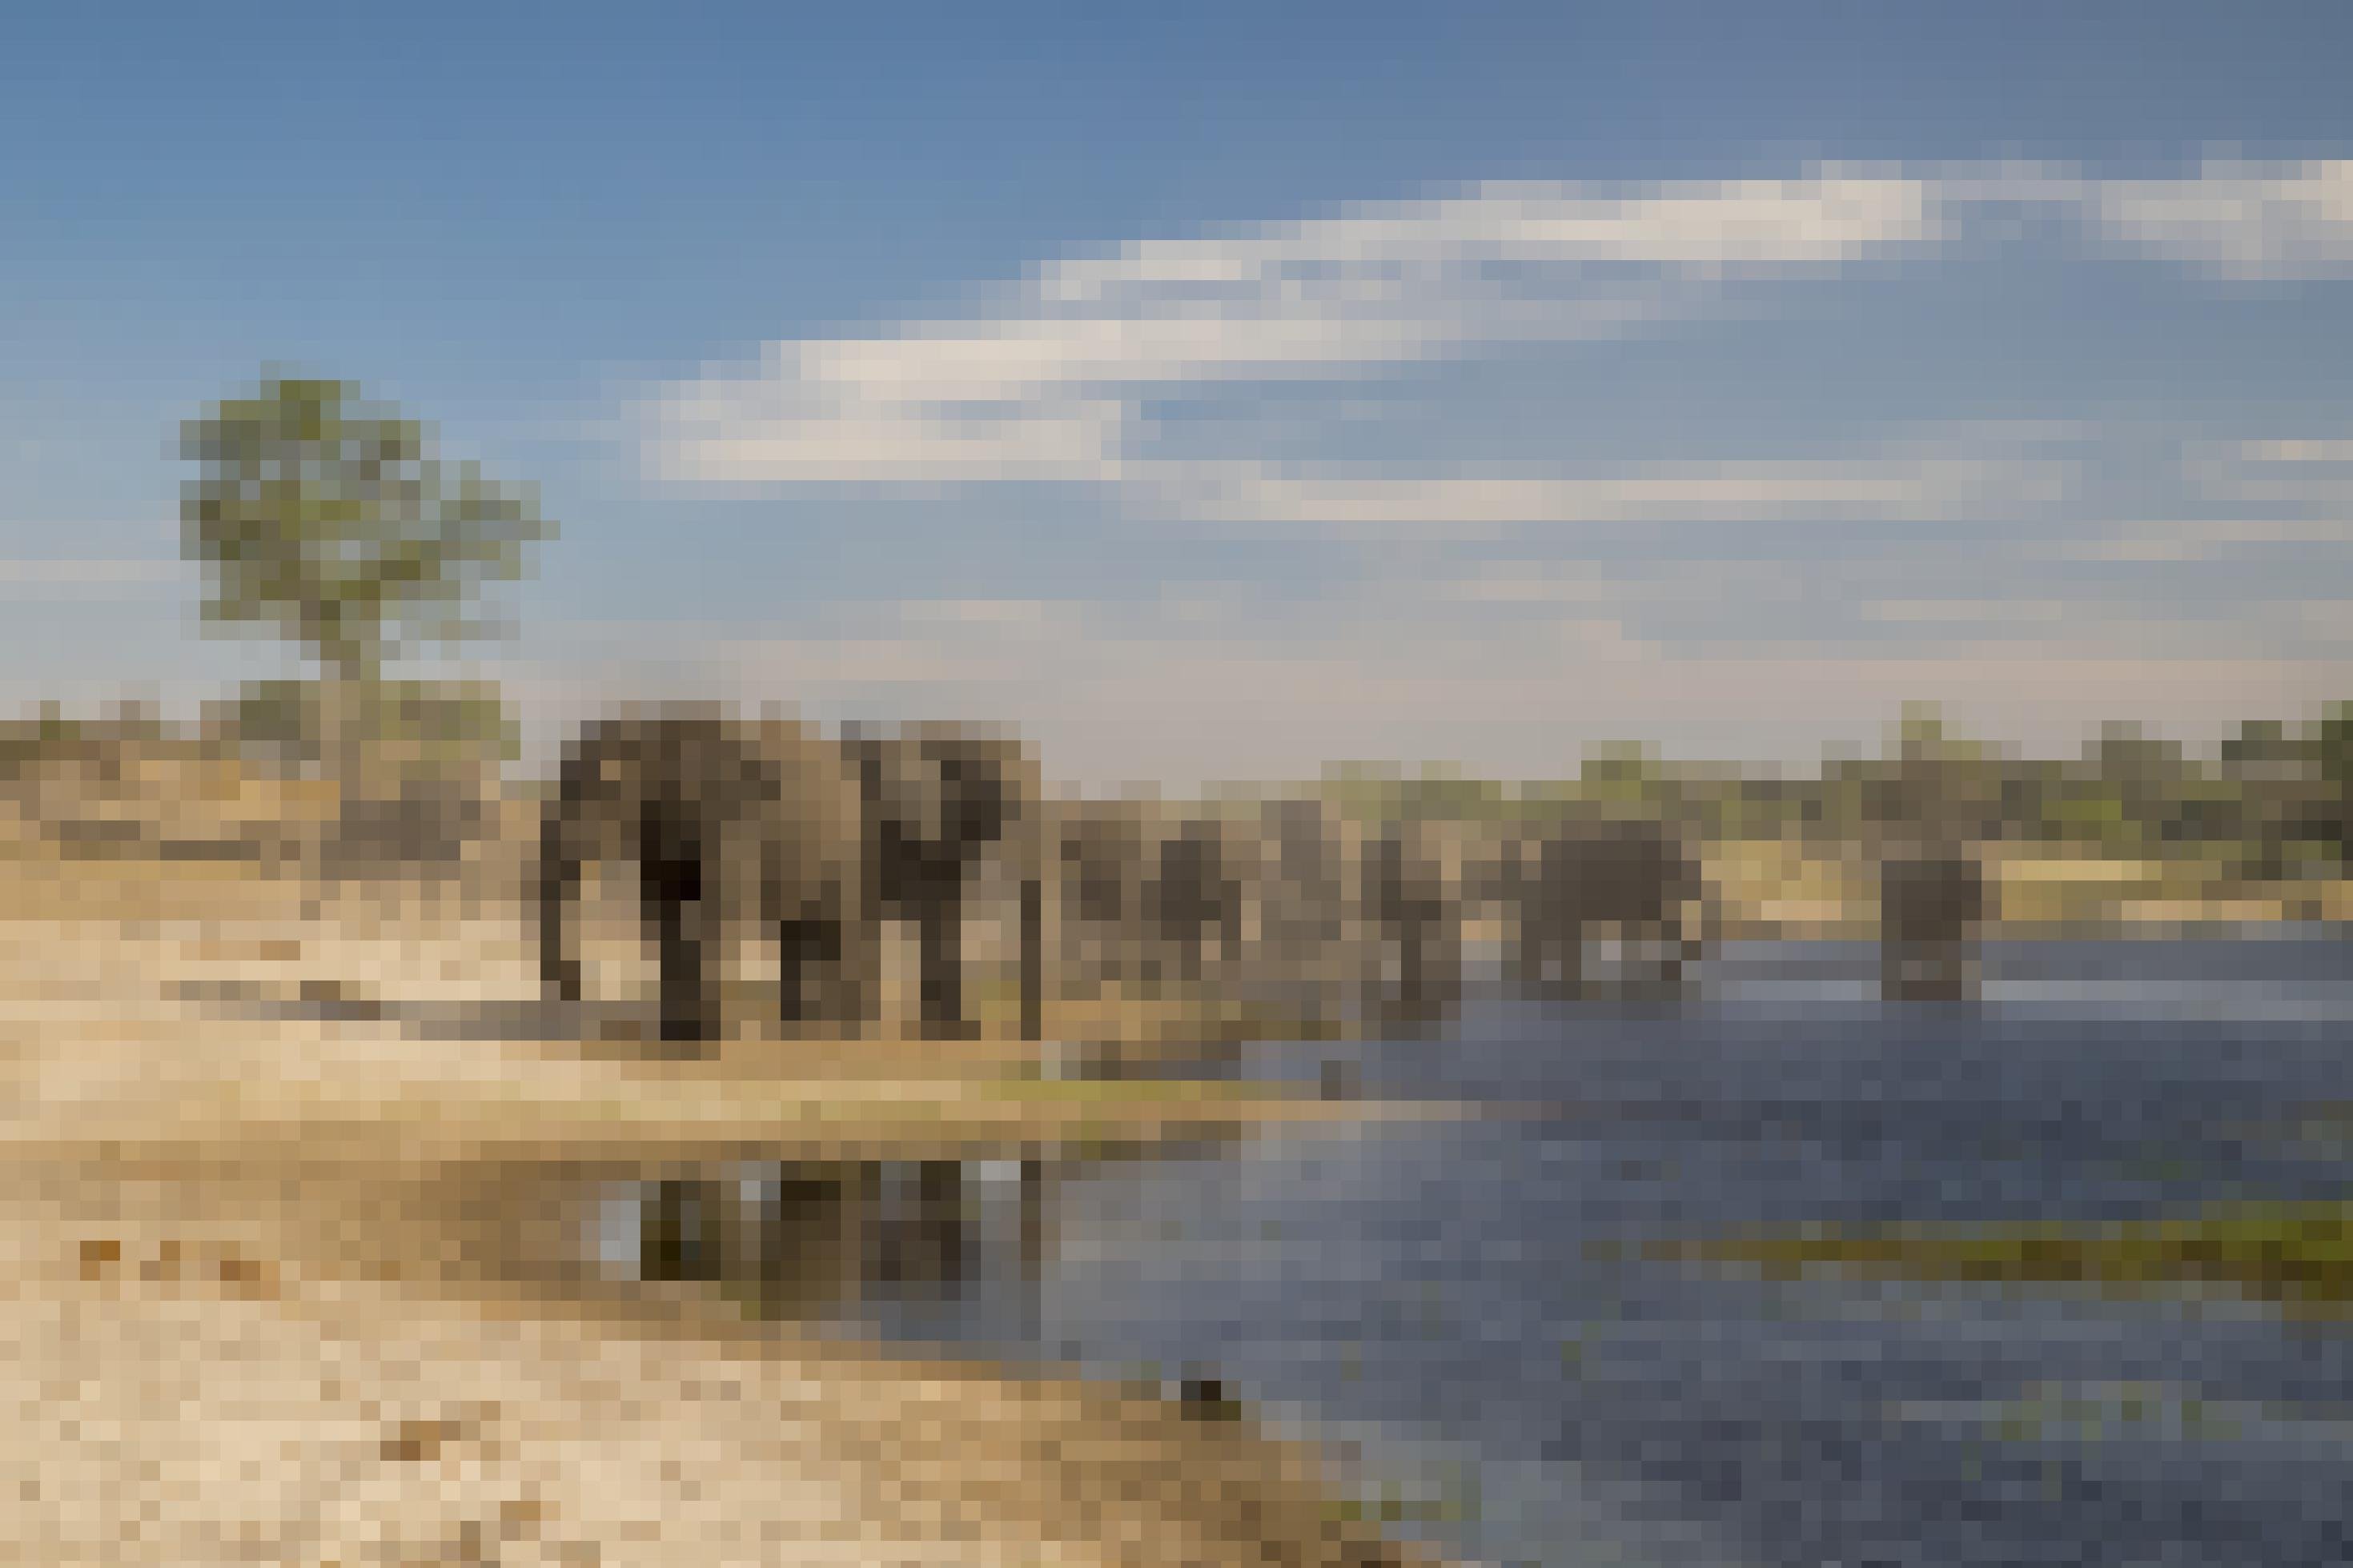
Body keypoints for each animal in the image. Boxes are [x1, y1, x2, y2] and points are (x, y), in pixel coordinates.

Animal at [534, 709, 875, 1048]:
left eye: (596, 790)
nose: (573, 987)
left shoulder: (731, 824)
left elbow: (715, 911)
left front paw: (698, 1040)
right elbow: (664, 915)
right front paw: (676, 1037)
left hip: (845, 856)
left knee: (838, 929)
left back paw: (847, 1027)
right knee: (801, 933)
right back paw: (798, 1023)